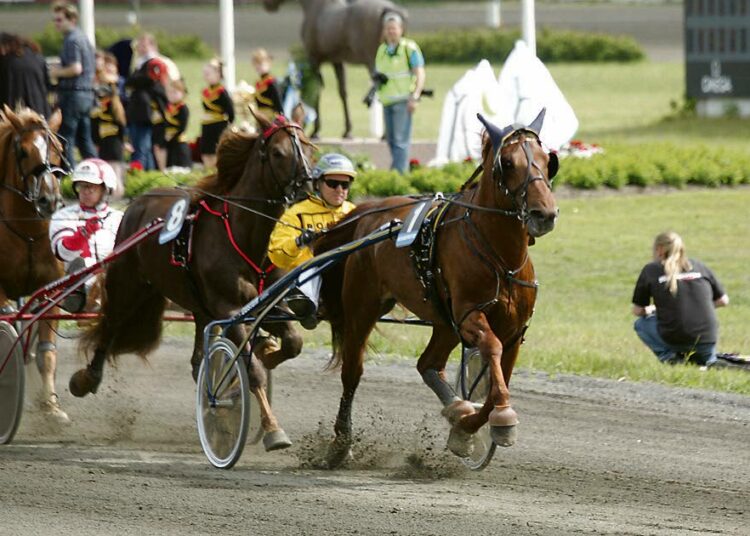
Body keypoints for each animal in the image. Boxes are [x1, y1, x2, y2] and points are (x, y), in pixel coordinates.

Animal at [73, 114, 314, 452]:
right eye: (278, 152)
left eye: (308, 146)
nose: (307, 189)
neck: (246, 234)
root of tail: (140, 201)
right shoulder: (230, 309)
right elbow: (253, 371)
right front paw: (272, 429)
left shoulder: (268, 304)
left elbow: (293, 342)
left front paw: (267, 349)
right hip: (128, 283)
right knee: (110, 325)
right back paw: (87, 379)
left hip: (198, 305)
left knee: (198, 357)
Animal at [262, 0, 408, 138]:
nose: (268, 5)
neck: (316, 8)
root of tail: (389, 8)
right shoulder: (337, 61)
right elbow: (343, 92)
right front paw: (347, 131)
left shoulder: (314, 60)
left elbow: (316, 91)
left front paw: (316, 132)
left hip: (373, 61)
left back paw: (385, 135)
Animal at [316, 111, 560, 466]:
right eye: (508, 163)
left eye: (547, 160)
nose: (545, 213)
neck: (501, 258)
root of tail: (369, 213)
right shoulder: (471, 316)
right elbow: (492, 350)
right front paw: (494, 419)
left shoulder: (515, 330)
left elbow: (496, 384)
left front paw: (467, 427)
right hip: (363, 307)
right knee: (352, 371)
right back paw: (341, 443)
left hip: (443, 320)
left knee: (427, 364)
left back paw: (457, 407)